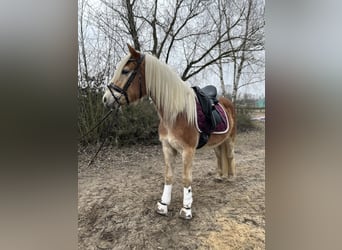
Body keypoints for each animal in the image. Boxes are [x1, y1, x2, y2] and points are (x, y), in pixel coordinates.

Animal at [101, 45, 235, 219]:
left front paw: (186, 209)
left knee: (230, 156)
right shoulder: (167, 147)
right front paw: (163, 205)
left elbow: (186, 179)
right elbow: (168, 176)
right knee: (219, 156)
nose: (105, 99)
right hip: (218, 143)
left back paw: (230, 178)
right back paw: (219, 176)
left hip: (230, 139)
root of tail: (227, 101)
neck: (176, 114)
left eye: (125, 71)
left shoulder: (188, 151)